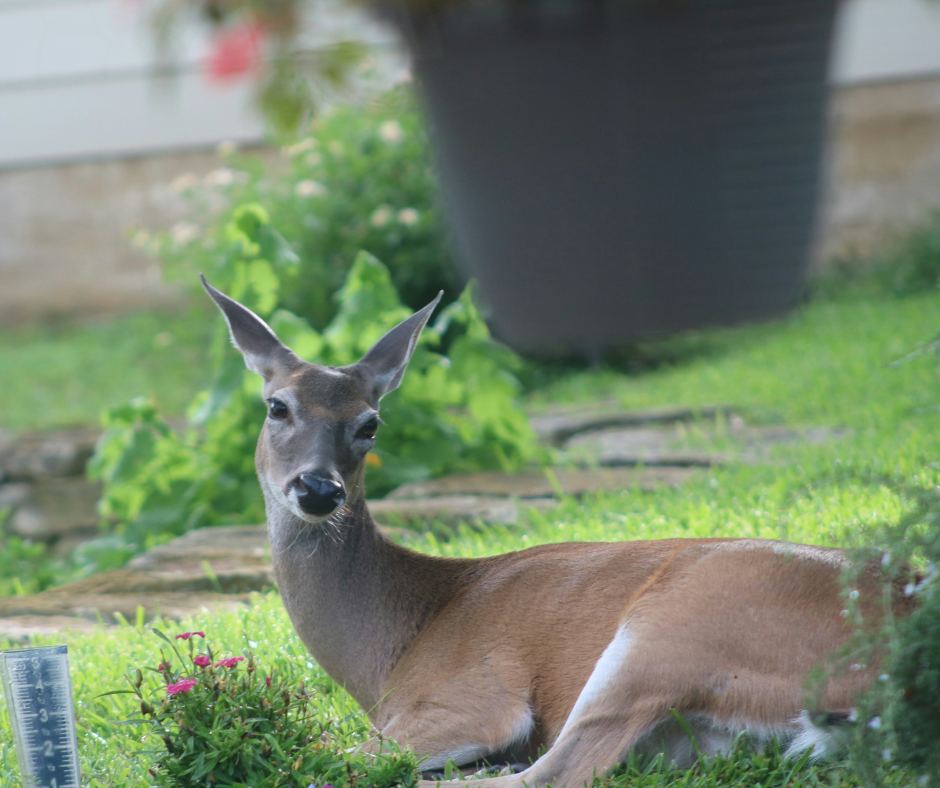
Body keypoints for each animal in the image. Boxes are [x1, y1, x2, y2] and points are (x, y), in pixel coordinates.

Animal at [201, 275, 910, 788]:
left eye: (370, 423)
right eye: (277, 406)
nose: (318, 490)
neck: (393, 647)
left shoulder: (468, 698)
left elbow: (322, 751)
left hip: (673, 625)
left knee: (549, 772)